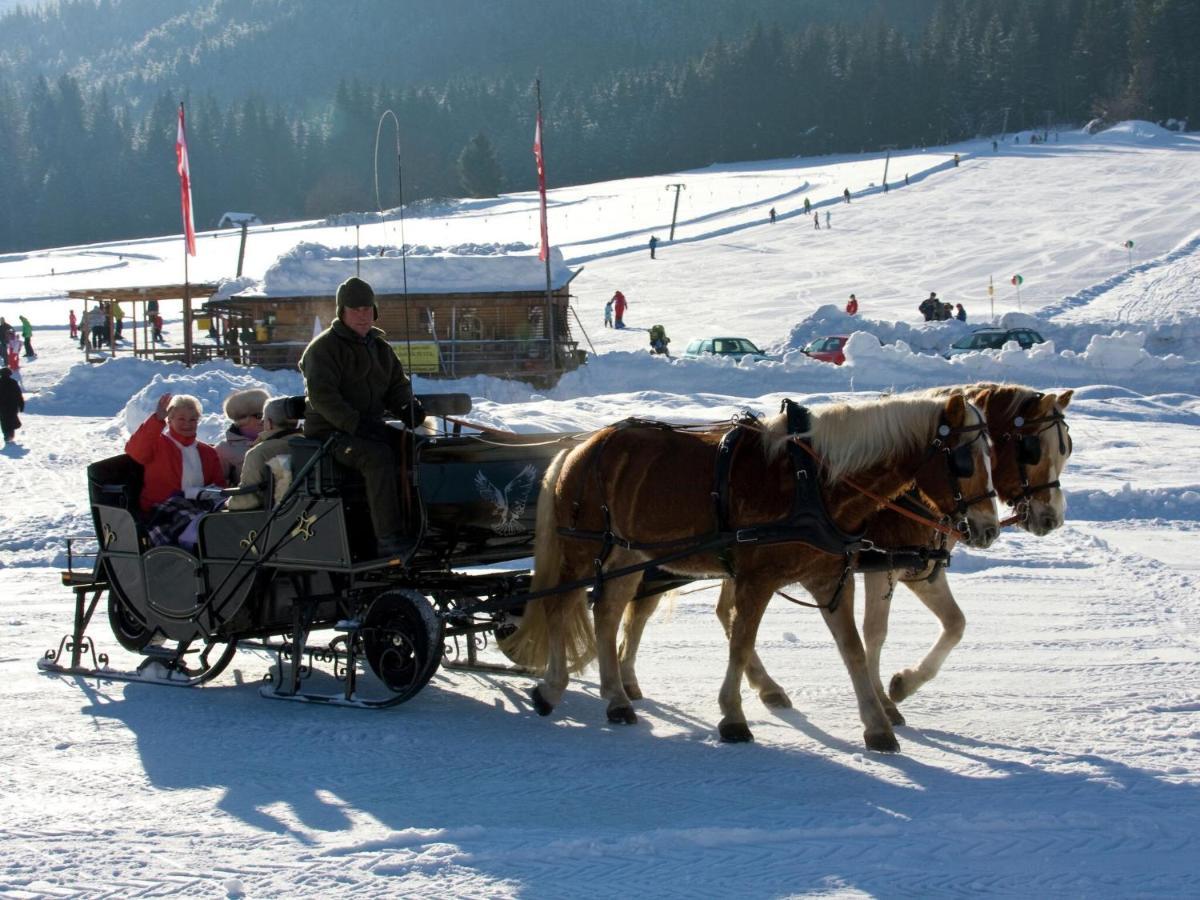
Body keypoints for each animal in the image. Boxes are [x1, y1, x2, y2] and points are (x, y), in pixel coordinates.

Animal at [501, 393, 998, 753]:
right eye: (965, 459)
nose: (988, 528)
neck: (813, 482)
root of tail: (579, 447)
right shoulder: (757, 580)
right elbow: (740, 643)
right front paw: (733, 717)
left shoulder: (829, 580)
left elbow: (854, 650)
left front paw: (877, 726)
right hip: (582, 548)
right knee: (560, 607)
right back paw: (552, 688)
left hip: (628, 553)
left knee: (607, 612)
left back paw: (617, 699)